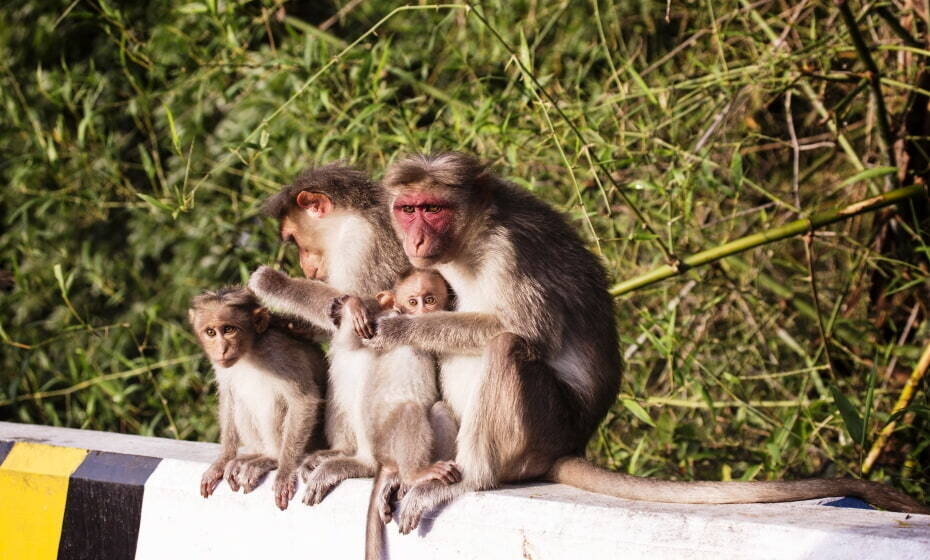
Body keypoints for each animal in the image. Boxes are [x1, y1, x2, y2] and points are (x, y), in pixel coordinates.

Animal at [188, 286, 326, 510]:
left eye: (229, 329)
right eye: (210, 332)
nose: (222, 349)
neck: (249, 350)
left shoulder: (278, 351)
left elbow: (303, 400)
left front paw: (286, 469)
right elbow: (228, 397)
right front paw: (223, 460)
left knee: (275, 402)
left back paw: (271, 458)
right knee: (241, 401)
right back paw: (255, 455)